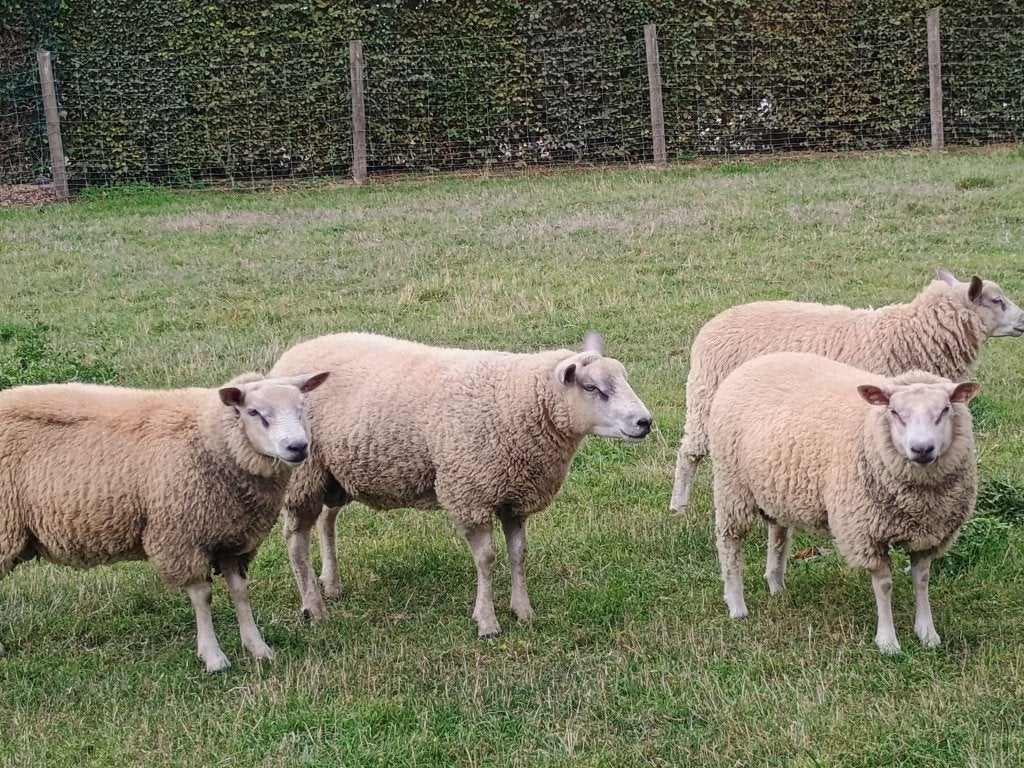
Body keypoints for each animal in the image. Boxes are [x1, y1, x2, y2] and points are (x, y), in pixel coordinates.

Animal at [0, 371, 328, 672]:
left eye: (302, 407)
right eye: (254, 412)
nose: (298, 447)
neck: (209, 440)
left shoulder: (233, 537)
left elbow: (240, 591)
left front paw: (258, 648)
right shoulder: (182, 536)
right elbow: (203, 597)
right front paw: (214, 658)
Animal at [268, 331, 652, 638]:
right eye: (592, 388)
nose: (645, 421)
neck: (515, 400)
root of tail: (292, 355)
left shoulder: (515, 497)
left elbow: (519, 554)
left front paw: (523, 611)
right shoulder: (472, 493)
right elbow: (487, 559)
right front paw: (487, 622)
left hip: (334, 473)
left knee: (326, 520)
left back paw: (330, 584)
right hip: (304, 473)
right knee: (296, 540)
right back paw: (313, 608)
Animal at [670, 268, 1022, 513]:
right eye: (997, 301)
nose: (1023, 320)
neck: (908, 334)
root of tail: (710, 327)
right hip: (705, 399)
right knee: (689, 453)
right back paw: (679, 506)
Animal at [709, 351, 978, 653]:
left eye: (944, 410)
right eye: (895, 413)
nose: (922, 449)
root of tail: (758, 360)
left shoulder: (928, 533)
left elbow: (921, 579)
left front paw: (927, 634)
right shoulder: (865, 532)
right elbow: (884, 585)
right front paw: (888, 641)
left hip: (775, 486)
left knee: (778, 533)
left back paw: (776, 584)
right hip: (732, 485)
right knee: (729, 541)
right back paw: (736, 603)